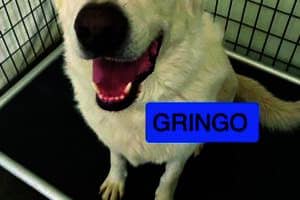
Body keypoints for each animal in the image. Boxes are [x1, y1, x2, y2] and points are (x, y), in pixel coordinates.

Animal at [52, 0, 298, 199]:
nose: (97, 28)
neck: (140, 107)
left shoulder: (178, 155)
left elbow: (168, 180)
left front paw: (163, 196)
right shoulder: (111, 136)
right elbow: (117, 159)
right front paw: (115, 181)